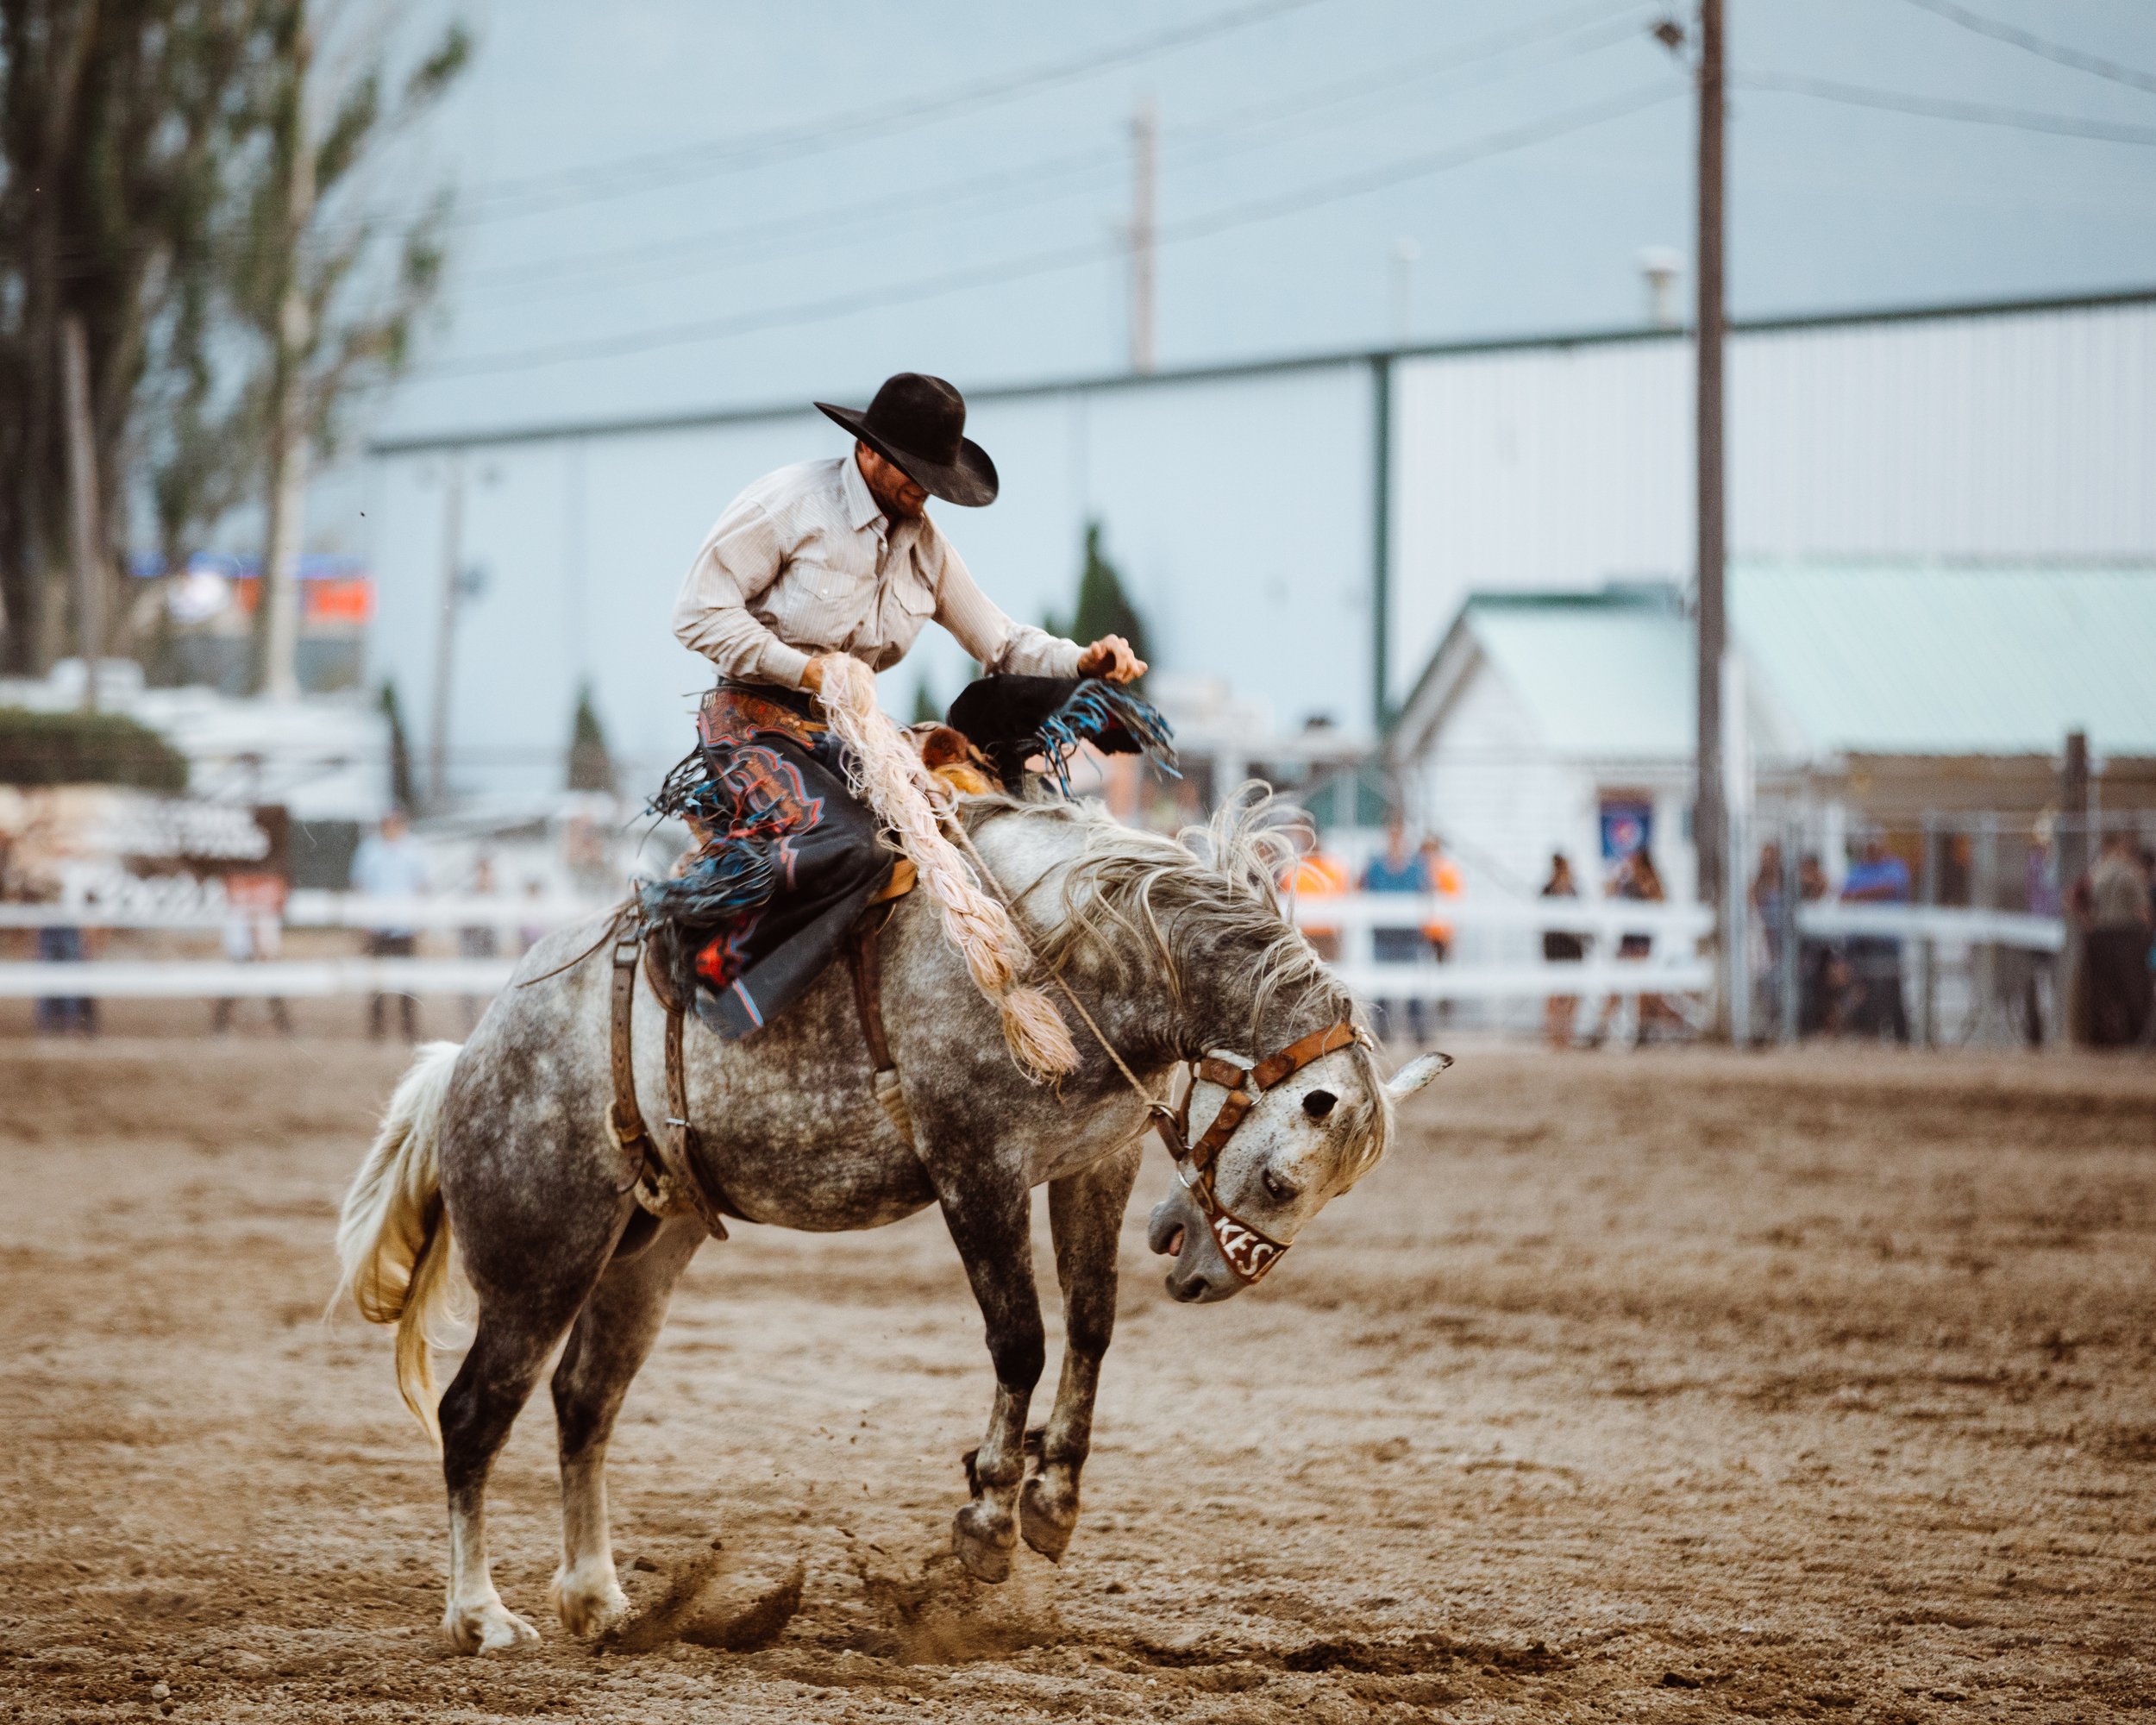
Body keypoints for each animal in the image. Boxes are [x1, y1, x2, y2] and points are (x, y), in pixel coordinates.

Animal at [341, 794, 1449, 1656]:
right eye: (1278, 1178)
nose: (1207, 1274)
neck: (1072, 955)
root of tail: (472, 1055)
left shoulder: (1092, 1162)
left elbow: (1090, 1325)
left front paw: (1052, 1504)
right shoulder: (976, 1170)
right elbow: (1021, 1338)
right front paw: (988, 1518)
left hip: (644, 1248)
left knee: (585, 1401)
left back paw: (600, 1598)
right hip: (542, 1256)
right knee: (475, 1413)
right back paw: (480, 1615)